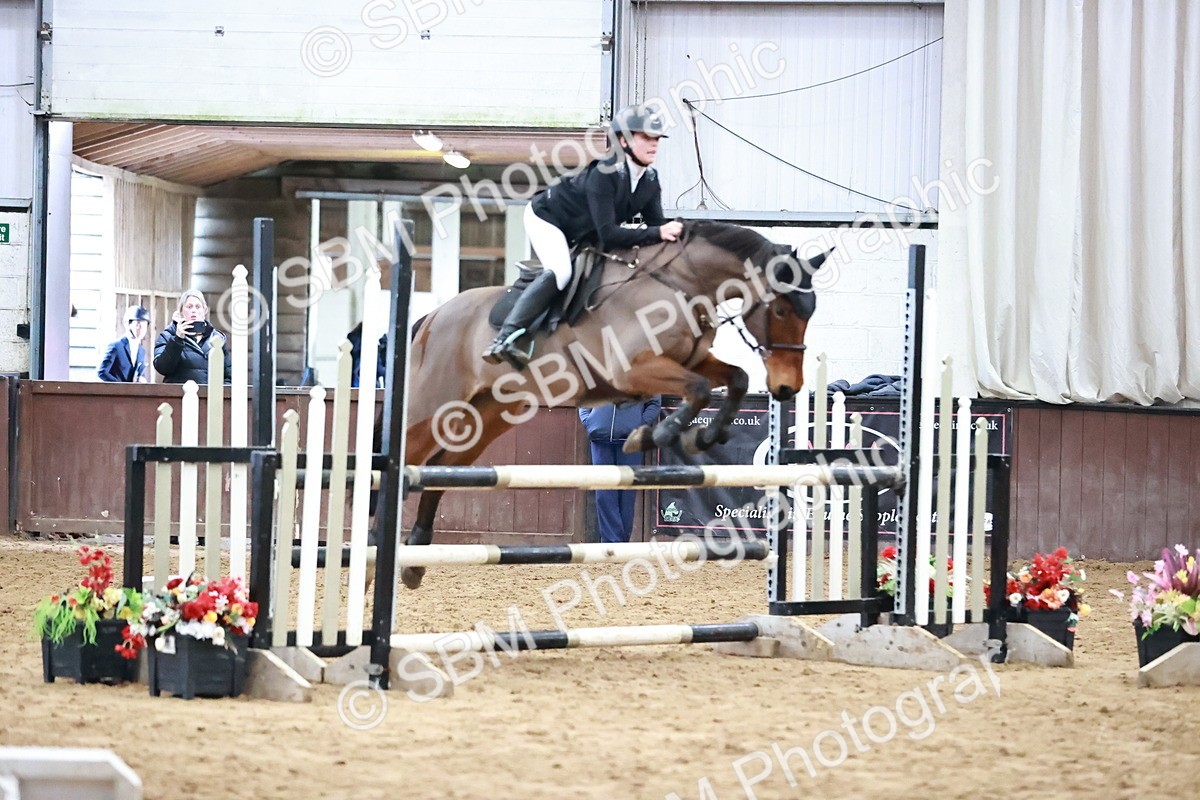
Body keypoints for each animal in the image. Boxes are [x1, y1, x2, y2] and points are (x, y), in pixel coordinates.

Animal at [397, 220, 829, 589]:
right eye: (780, 309)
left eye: (810, 313)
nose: (788, 387)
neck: (680, 286)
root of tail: (433, 316)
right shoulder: (632, 371)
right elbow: (701, 388)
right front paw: (659, 434)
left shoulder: (689, 360)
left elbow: (733, 379)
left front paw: (702, 437)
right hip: (432, 408)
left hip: (490, 415)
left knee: (441, 468)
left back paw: (415, 560)